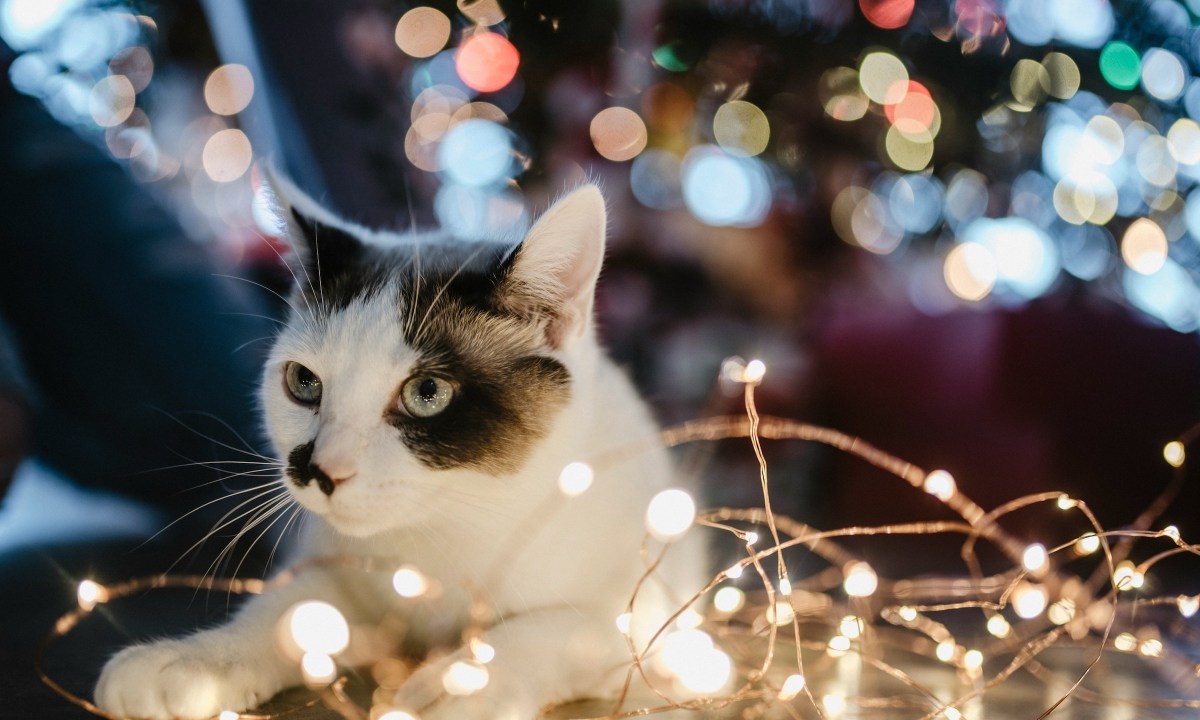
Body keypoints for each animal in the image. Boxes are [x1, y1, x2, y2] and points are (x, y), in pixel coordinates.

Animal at [98, 186, 705, 720]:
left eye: (427, 393)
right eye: (303, 383)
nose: (319, 470)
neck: (448, 531)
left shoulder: (648, 611)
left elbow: (563, 628)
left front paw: (463, 683)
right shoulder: (335, 565)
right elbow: (289, 611)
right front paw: (194, 661)